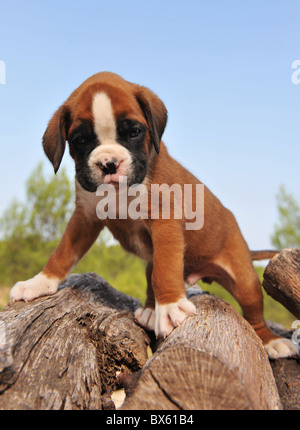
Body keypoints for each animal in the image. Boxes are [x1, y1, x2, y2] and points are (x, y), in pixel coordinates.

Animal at [9, 72, 298, 358]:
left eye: (134, 132)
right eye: (80, 141)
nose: (109, 163)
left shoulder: (165, 221)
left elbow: (165, 269)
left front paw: (169, 306)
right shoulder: (85, 218)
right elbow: (62, 253)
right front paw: (40, 282)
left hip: (244, 280)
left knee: (253, 313)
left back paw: (271, 341)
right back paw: (150, 309)